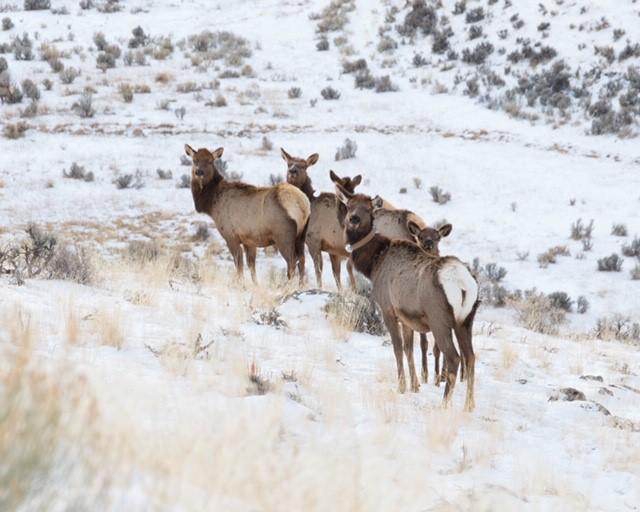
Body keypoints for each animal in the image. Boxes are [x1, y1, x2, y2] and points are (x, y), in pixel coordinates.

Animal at [185, 144, 310, 284]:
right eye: (194, 160)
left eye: (210, 161)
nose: (199, 172)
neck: (211, 204)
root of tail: (303, 204)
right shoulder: (249, 240)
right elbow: (251, 265)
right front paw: (255, 285)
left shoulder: (230, 235)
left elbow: (238, 263)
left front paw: (241, 285)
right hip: (301, 235)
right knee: (302, 260)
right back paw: (300, 285)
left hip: (283, 235)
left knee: (292, 261)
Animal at [280, 148, 363, 289]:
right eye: (288, 163)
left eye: (304, 166)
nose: (292, 171)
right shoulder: (333, 249)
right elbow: (336, 274)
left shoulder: (313, 241)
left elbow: (318, 270)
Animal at [337, 189, 479, 411]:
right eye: (350, 204)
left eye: (368, 209)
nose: (354, 219)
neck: (374, 263)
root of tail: (463, 283)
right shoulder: (406, 316)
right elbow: (408, 348)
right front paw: (415, 385)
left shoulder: (387, 308)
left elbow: (397, 348)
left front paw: (402, 386)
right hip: (466, 320)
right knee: (471, 357)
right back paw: (469, 406)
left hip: (439, 319)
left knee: (454, 357)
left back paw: (444, 404)